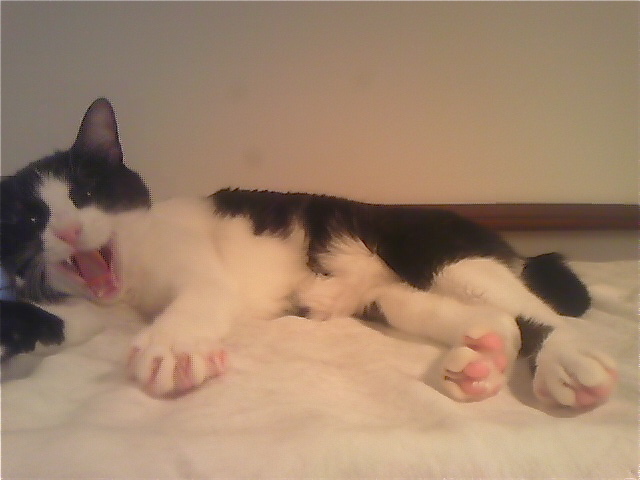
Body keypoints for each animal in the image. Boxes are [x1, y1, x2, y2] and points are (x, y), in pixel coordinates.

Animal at [0, 98, 617, 408]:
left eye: (86, 192)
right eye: (29, 218)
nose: (69, 231)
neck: (128, 287)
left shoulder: (193, 266)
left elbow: (199, 296)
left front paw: (172, 348)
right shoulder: (84, 312)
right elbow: (49, 319)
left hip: (437, 251)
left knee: (539, 311)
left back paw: (565, 359)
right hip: (390, 298)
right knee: (490, 317)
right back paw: (483, 358)